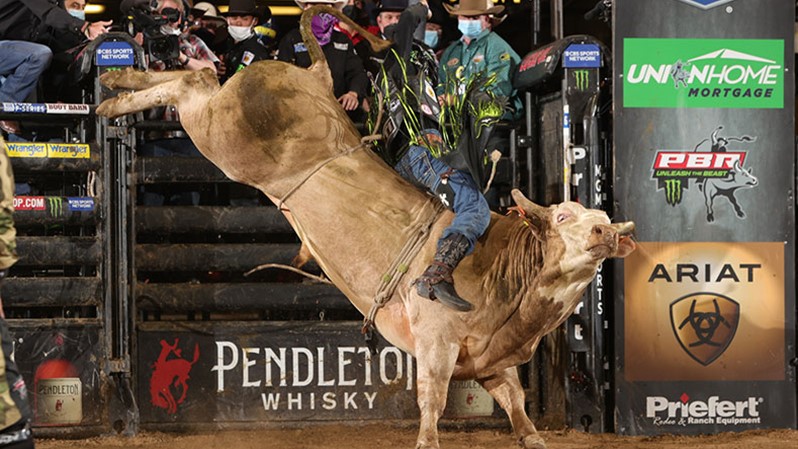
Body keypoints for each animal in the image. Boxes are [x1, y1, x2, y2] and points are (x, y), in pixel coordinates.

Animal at [98, 5, 636, 446]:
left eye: (603, 218)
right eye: (564, 216)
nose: (606, 235)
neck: (510, 270)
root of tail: (313, 78)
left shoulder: (492, 363)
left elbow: (517, 406)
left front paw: (532, 435)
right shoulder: (436, 344)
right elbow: (432, 401)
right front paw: (427, 439)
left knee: (202, 78)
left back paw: (119, 82)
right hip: (221, 134)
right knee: (195, 85)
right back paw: (114, 92)